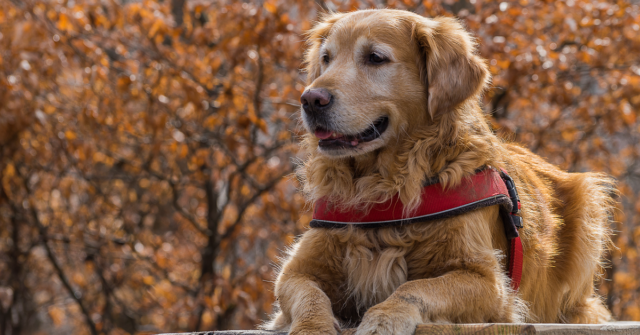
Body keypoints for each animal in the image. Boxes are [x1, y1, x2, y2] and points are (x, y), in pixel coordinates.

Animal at [264, 9, 616, 334]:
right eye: (326, 58)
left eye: (375, 58)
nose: (310, 99)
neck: (383, 185)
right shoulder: (297, 270)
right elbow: (309, 296)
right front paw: (312, 327)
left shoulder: (487, 280)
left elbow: (415, 287)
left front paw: (384, 318)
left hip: (588, 201)